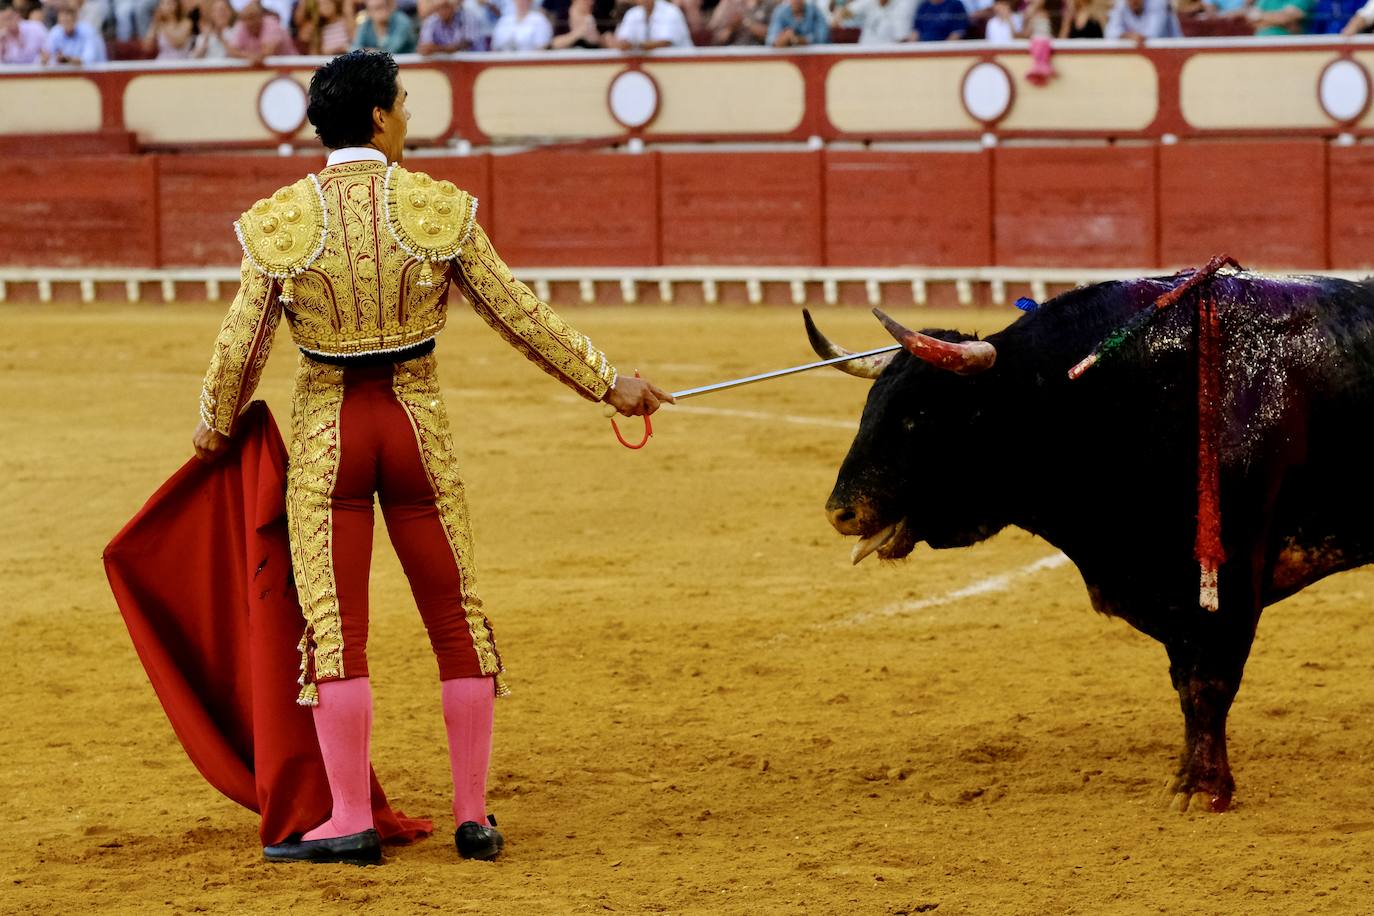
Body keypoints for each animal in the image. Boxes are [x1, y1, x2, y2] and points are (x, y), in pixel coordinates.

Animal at [802, 269, 1374, 813]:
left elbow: (1209, 682)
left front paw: (1203, 789)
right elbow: (1186, 683)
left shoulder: (1225, 578)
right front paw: (1184, 780)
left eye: (918, 416)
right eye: (871, 405)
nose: (841, 512)